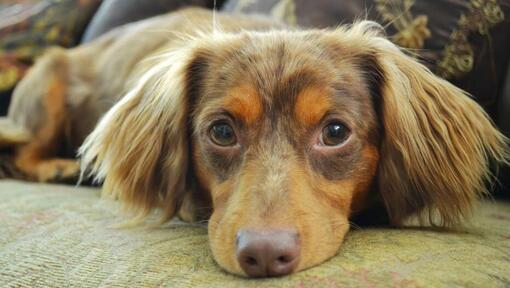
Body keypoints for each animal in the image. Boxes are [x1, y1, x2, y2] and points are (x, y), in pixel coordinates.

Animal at [0, 6, 510, 276]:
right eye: (222, 131)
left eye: (336, 132)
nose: (264, 255)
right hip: (46, 93)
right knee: (19, 154)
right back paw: (58, 167)